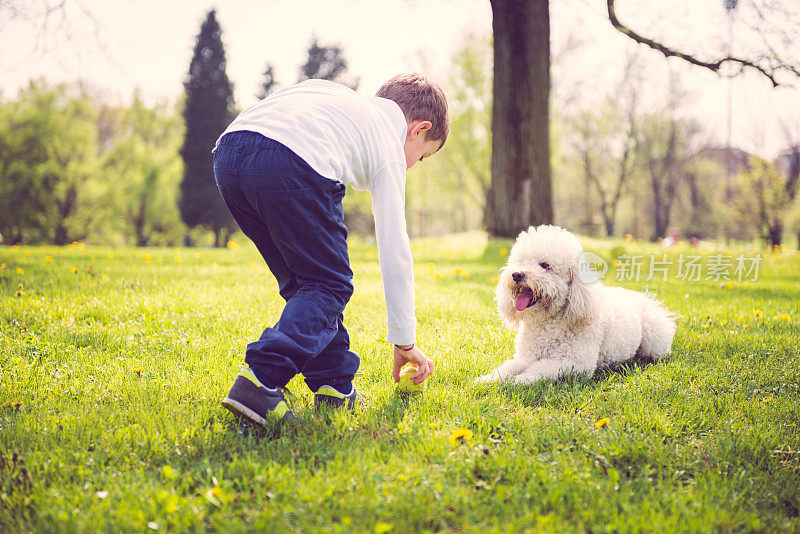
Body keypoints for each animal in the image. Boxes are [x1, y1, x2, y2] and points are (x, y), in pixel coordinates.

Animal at [478, 226, 680, 386]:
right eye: (520, 262)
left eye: (545, 265)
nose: (517, 275)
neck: (548, 322)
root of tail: (646, 299)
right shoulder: (526, 357)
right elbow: (507, 367)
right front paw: (488, 379)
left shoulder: (575, 363)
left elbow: (540, 369)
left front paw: (520, 380)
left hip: (654, 341)